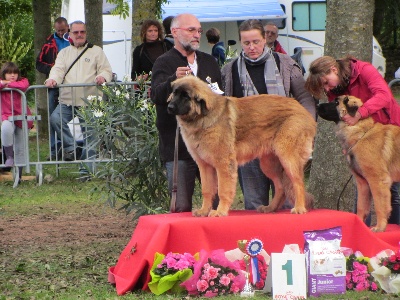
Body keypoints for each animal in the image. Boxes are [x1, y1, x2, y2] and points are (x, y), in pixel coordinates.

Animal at [166, 76, 316, 217]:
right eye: (175, 93)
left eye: (186, 96)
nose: (169, 107)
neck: (201, 117)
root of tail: (305, 112)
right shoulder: (205, 165)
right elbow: (207, 190)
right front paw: (204, 211)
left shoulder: (224, 164)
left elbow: (223, 190)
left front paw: (220, 211)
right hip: (268, 164)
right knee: (280, 187)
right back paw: (270, 208)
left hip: (287, 158)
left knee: (298, 182)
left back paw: (299, 208)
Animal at [334, 96, 400, 232]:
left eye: (336, 103)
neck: (361, 133)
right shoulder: (362, 183)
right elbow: (361, 206)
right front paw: (358, 225)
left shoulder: (377, 181)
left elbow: (380, 206)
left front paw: (379, 227)